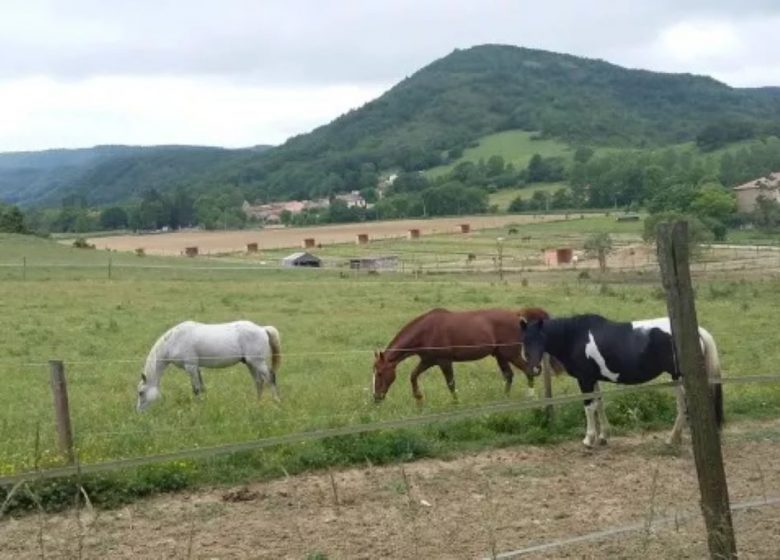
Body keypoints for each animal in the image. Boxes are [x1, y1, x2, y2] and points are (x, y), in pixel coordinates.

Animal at [136, 320, 280, 412]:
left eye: (141, 392)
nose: (138, 411)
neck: (174, 340)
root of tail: (262, 329)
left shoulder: (191, 367)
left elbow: (196, 389)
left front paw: (198, 407)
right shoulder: (197, 369)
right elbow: (202, 388)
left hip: (258, 362)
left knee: (270, 378)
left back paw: (276, 402)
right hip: (251, 363)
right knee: (259, 381)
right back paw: (257, 404)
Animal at [374, 306, 552, 402]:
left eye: (380, 373)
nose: (376, 397)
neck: (426, 331)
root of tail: (517, 316)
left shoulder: (444, 361)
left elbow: (451, 384)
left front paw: (456, 403)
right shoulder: (428, 361)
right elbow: (413, 375)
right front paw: (418, 398)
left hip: (511, 354)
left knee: (528, 371)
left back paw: (531, 397)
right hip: (500, 355)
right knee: (509, 375)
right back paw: (505, 398)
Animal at [520, 316, 724, 446]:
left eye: (541, 338)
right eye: (525, 340)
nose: (535, 369)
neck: (575, 337)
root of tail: (697, 332)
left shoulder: (584, 380)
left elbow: (589, 408)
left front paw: (589, 439)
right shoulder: (593, 379)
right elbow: (599, 404)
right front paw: (603, 436)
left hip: (680, 379)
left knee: (685, 406)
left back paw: (673, 438)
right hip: (677, 379)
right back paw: (675, 438)